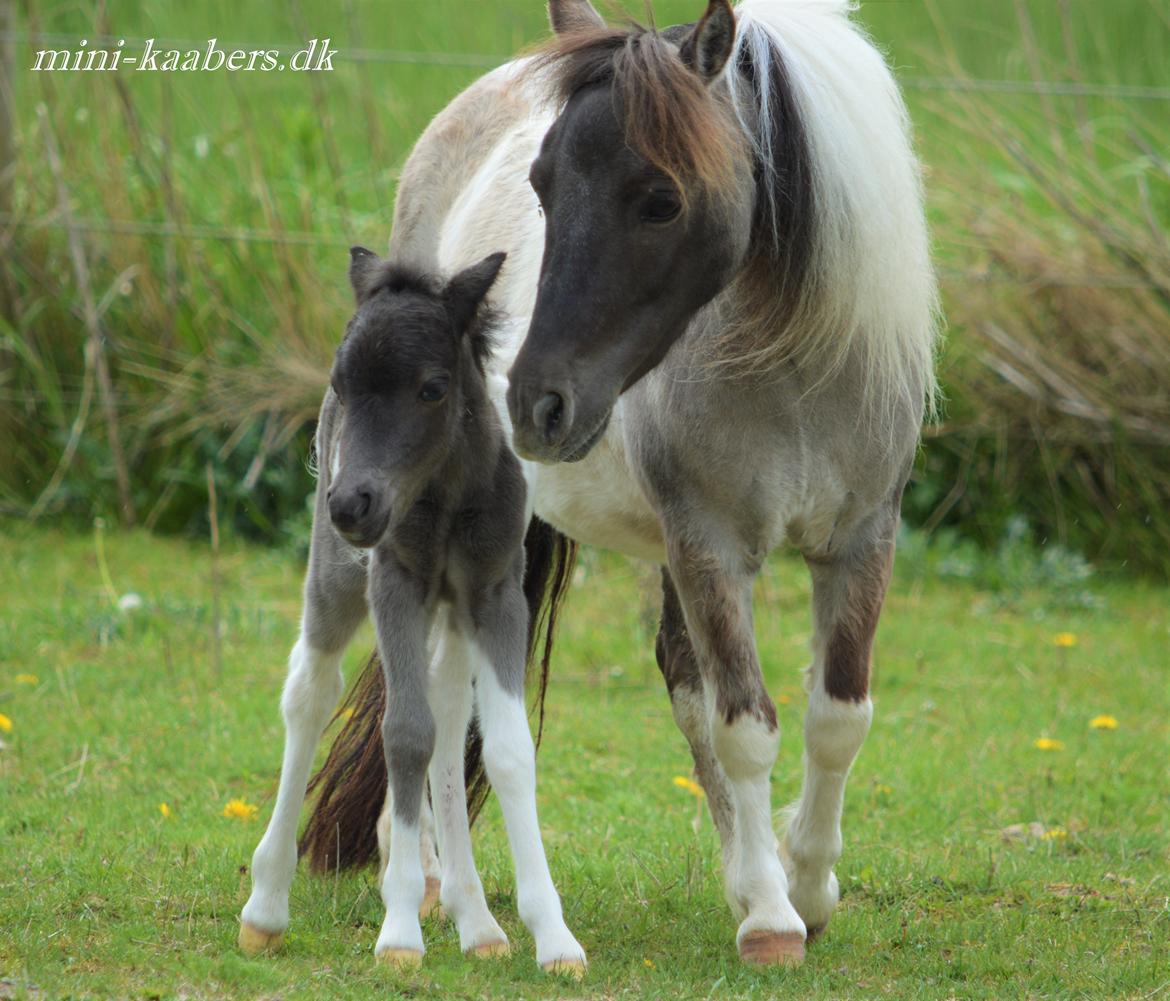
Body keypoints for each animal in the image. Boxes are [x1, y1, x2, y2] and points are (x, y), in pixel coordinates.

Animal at [238, 246, 585, 972]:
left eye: (432, 388)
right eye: (342, 383)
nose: (352, 504)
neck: (447, 493)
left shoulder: (495, 591)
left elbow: (504, 746)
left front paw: (554, 936)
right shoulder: (395, 581)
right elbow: (403, 733)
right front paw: (399, 929)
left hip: (449, 612)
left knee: (450, 715)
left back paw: (477, 921)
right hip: (338, 579)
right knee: (310, 693)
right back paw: (265, 906)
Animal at [297, 0, 935, 968]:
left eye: (662, 199)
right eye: (542, 184)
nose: (533, 401)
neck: (790, 369)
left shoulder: (862, 539)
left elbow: (836, 717)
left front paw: (806, 885)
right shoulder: (708, 543)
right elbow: (746, 724)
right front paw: (775, 918)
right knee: (440, 694)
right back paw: (434, 885)